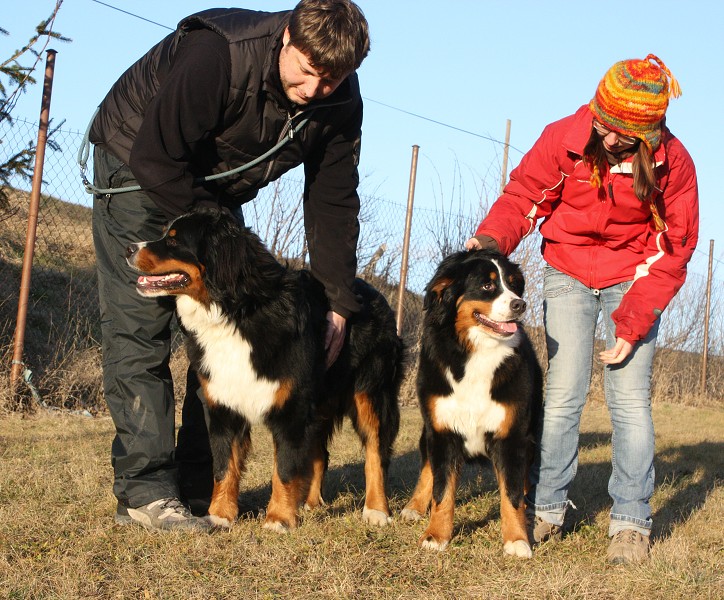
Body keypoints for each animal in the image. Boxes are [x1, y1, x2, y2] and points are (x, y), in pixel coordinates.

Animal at [124, 209, 402, 532]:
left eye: (173, 240)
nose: (128, 248)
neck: (235, 313)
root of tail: (373, 290)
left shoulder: (291, 409)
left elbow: (283, 469)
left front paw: (279, 518)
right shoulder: (223, 406)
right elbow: (224, 467)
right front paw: (219, 515)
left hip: (370, 394)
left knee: (375, 454)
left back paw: (376, 510)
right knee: (320, 454)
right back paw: (311, 503)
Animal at [398, 248, 540, 556]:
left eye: (514, 284)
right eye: (487, 285)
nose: (520, 304)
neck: (477, 352)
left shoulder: (511, 435)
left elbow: (512, 494)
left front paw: (517, 539)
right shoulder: (443, 431)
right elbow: (442, 490)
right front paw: (436, 536)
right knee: (427, 469)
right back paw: (414, 507)